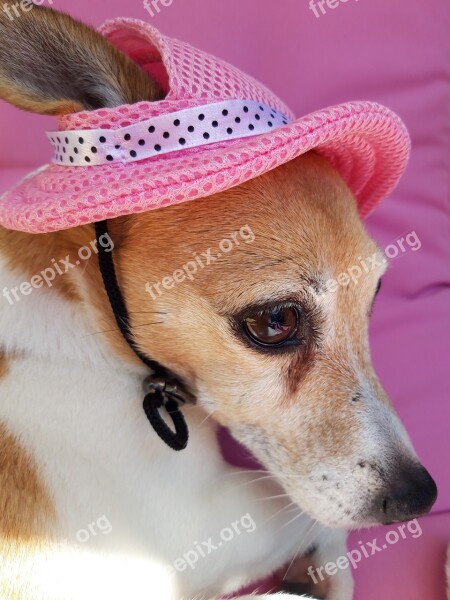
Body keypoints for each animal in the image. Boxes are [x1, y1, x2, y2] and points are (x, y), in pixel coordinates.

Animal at [0, 4, 438, 600]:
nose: (420, 497)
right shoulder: (198, 526)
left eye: (373, 296)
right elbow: (315, 519)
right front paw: (320, 572)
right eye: (275, 321)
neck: (74, 301)